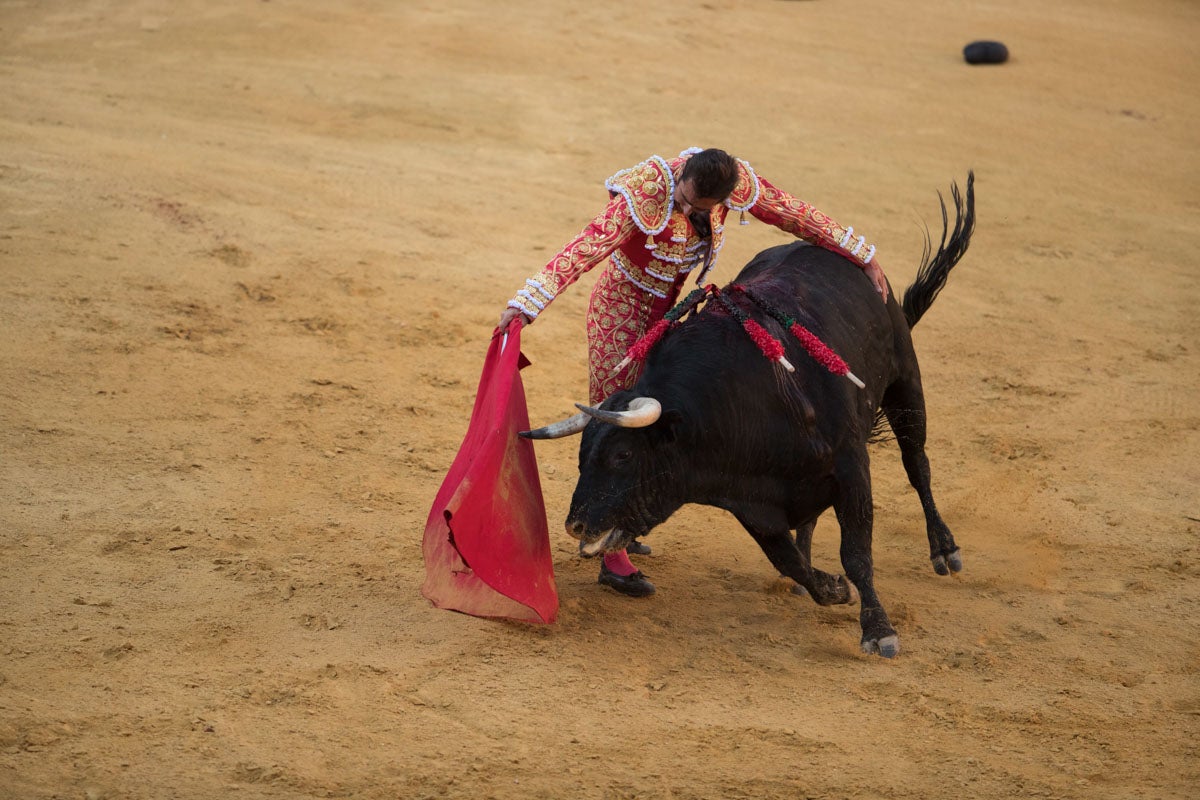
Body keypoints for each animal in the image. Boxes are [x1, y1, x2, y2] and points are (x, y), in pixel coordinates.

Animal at [525, 175, 974, 657]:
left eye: (623, 456)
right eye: (581, 455)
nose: (575, 524)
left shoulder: (851, 465)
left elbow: (856, 552)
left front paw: (878, 630)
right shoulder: (749, 497)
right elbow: (788, 560)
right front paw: (830, 588)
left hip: (905, 380)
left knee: (917, 464)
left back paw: (945, 551)